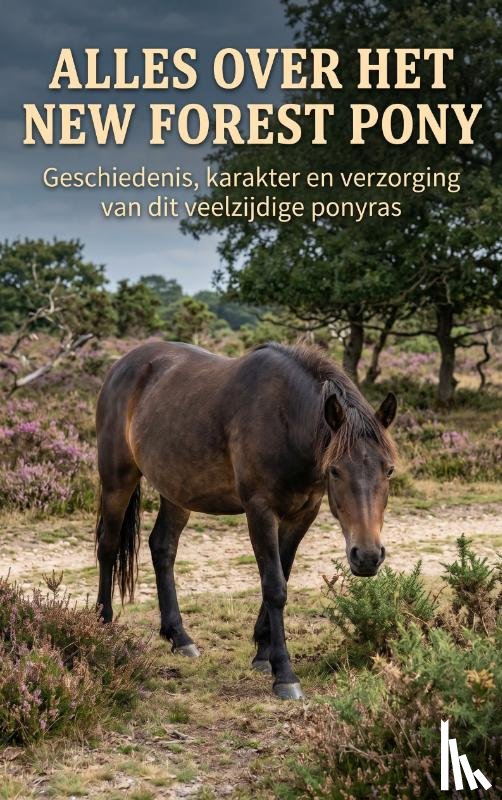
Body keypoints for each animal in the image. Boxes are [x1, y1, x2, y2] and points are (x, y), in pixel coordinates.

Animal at [95, 341, 397, 700]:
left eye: (389, 470)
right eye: (335, 470)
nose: (367, 557)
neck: (286, 419)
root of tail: (121, 365)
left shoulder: (302, 514)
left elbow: (282, 576)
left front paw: (263, 654)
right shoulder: (260, 511)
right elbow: (275, 586)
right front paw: (285, 675)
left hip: (177, 490)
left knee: (163, 547)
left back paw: (179, 637)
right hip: (117, 479)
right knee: (108, 547)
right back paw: (103, 626)